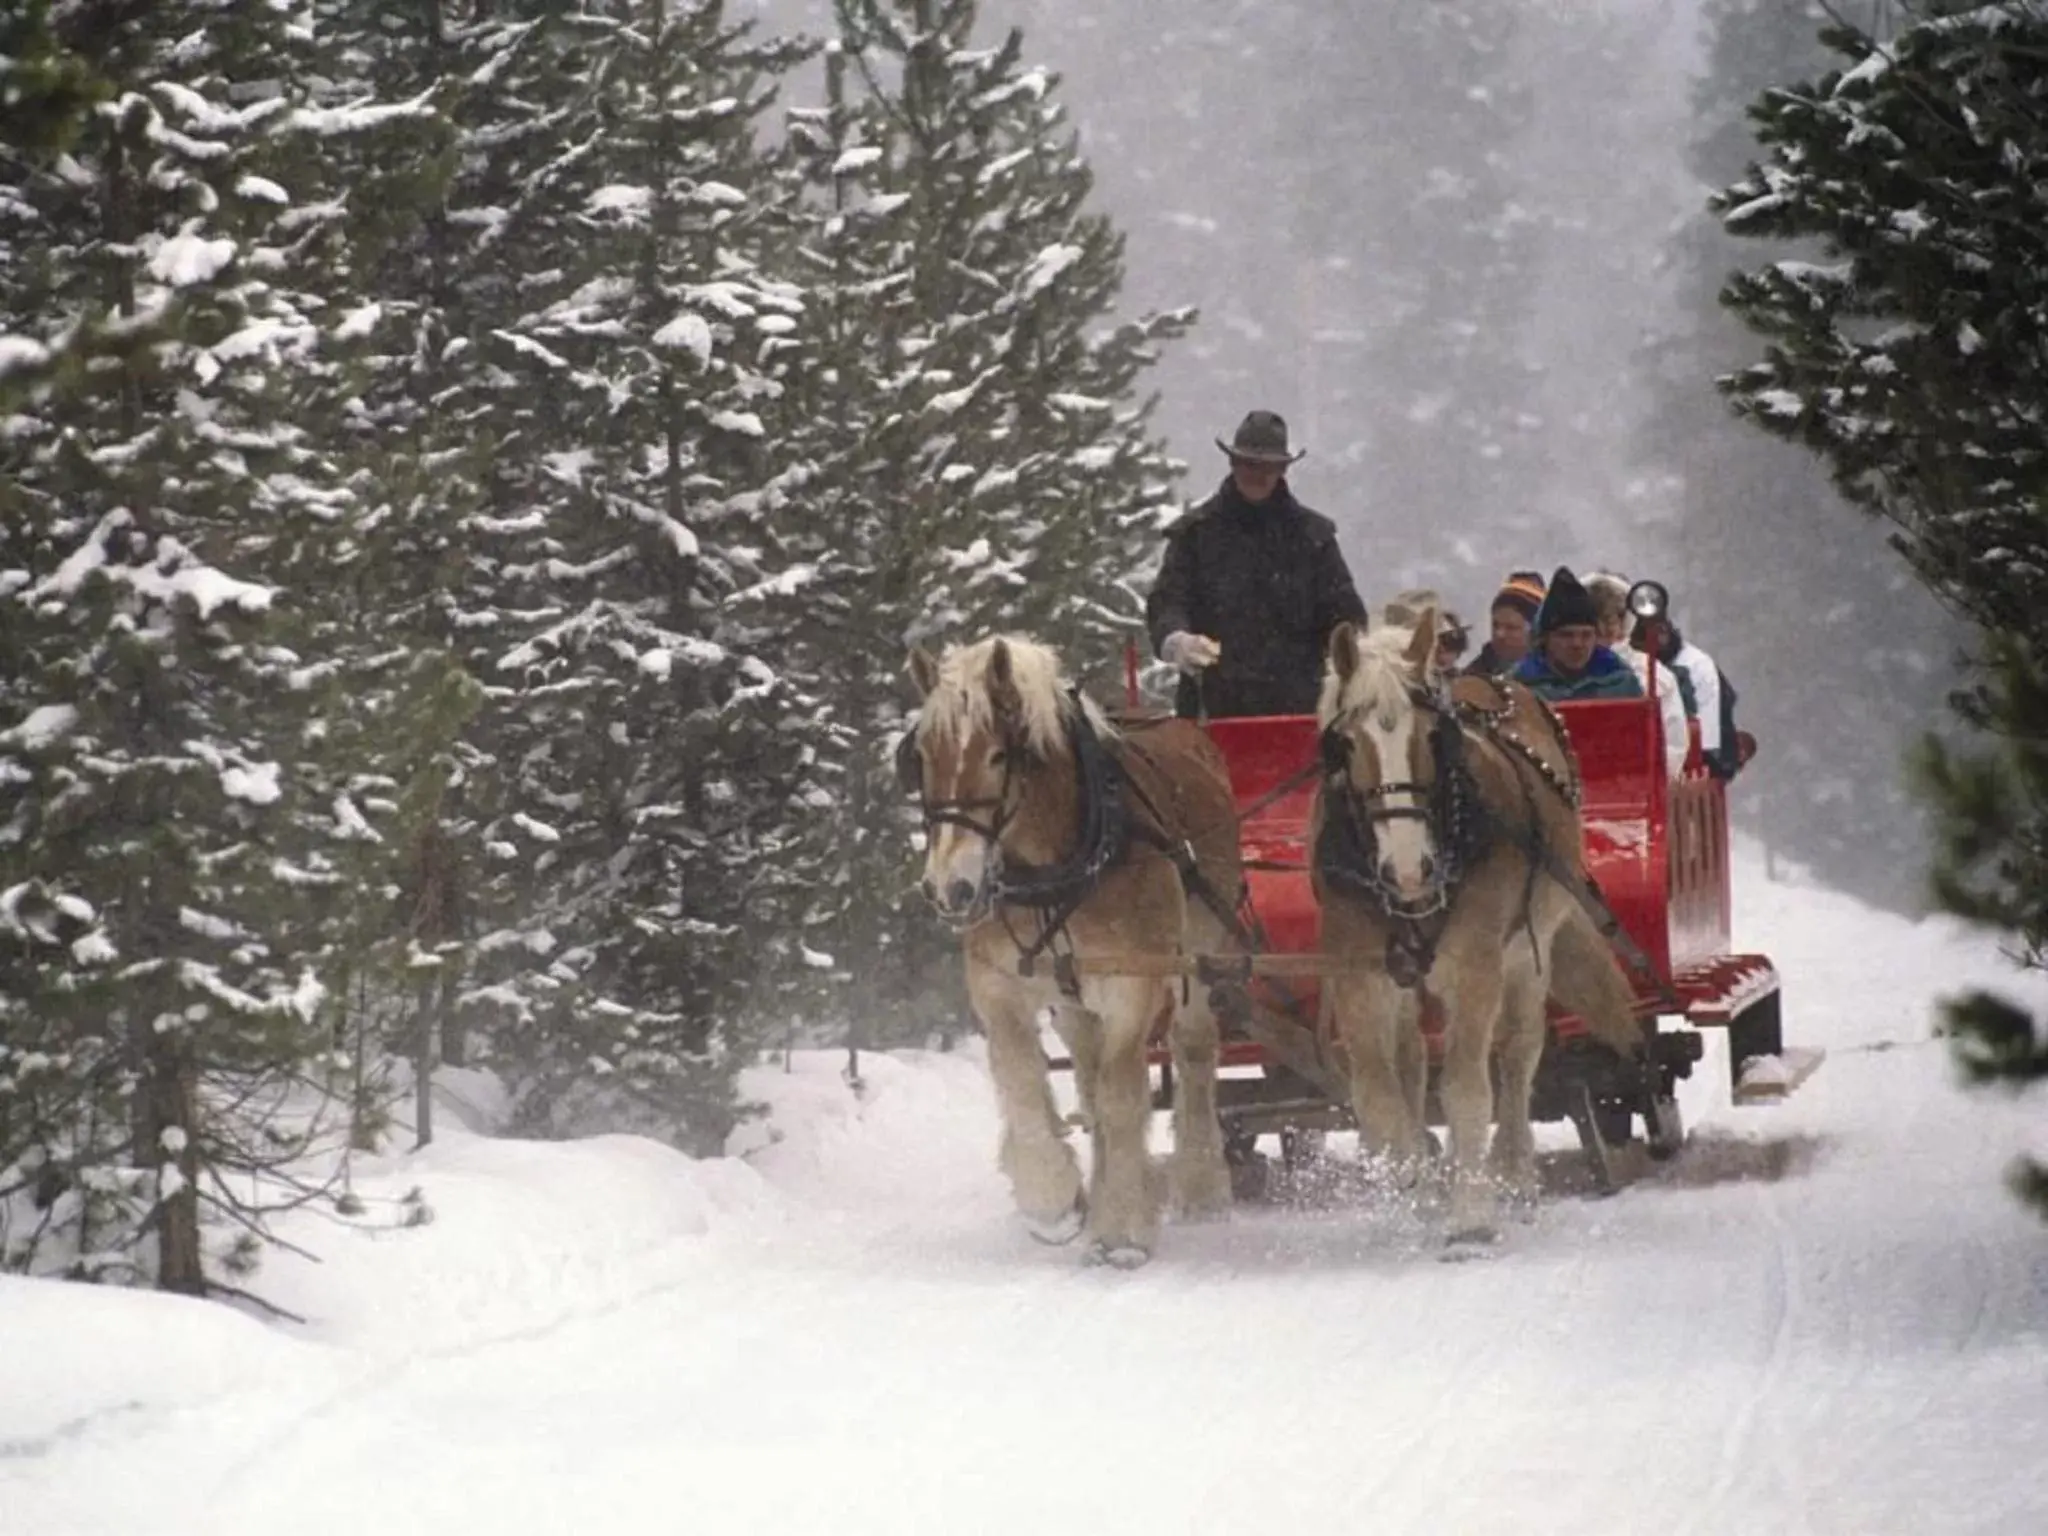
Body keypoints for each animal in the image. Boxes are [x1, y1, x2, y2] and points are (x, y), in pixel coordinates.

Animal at [905, 634, 1236, 1261]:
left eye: (999, 756)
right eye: (923, 756)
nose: (949, 888)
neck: (1059, 866)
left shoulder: (1132, 983)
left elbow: (1123, 1094)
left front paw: (1124, 1228)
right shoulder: (997, 986)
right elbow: (1022, 1079)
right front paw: (1054, 1200)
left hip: (1202, 962)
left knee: (1194, 1052)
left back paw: (1200, 1179)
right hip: (1073, 1001)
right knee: (1087, 1074)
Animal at [1310, 606, 1646, 1245]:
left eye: (1431, 737)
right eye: (1345, 743)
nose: (1408, 869)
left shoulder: (1474, 965)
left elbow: (1466, 1087)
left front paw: (1470, 1216)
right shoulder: (1358, 975)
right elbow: (1379, 1094)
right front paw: (1413, 1188)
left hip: (1528, 949)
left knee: (1517, 1055)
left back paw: (1514, 1178)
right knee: (1415, 1061)